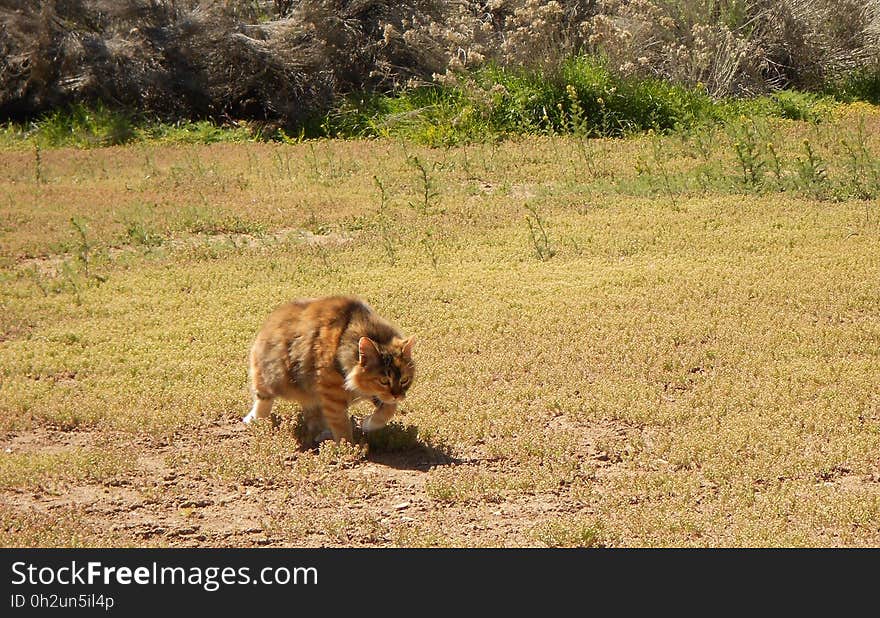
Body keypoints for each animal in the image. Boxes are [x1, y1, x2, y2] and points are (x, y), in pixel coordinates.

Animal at [244, 294, 416, 442]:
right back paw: (253, 419)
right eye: (384, 381)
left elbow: (389, 409)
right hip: (271, 377)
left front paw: (368, 424)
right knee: (263, 399)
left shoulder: (373, 393)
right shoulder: (332, 395)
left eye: (405, 380)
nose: (398, 395)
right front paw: (348, 448)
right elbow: (341, 425)